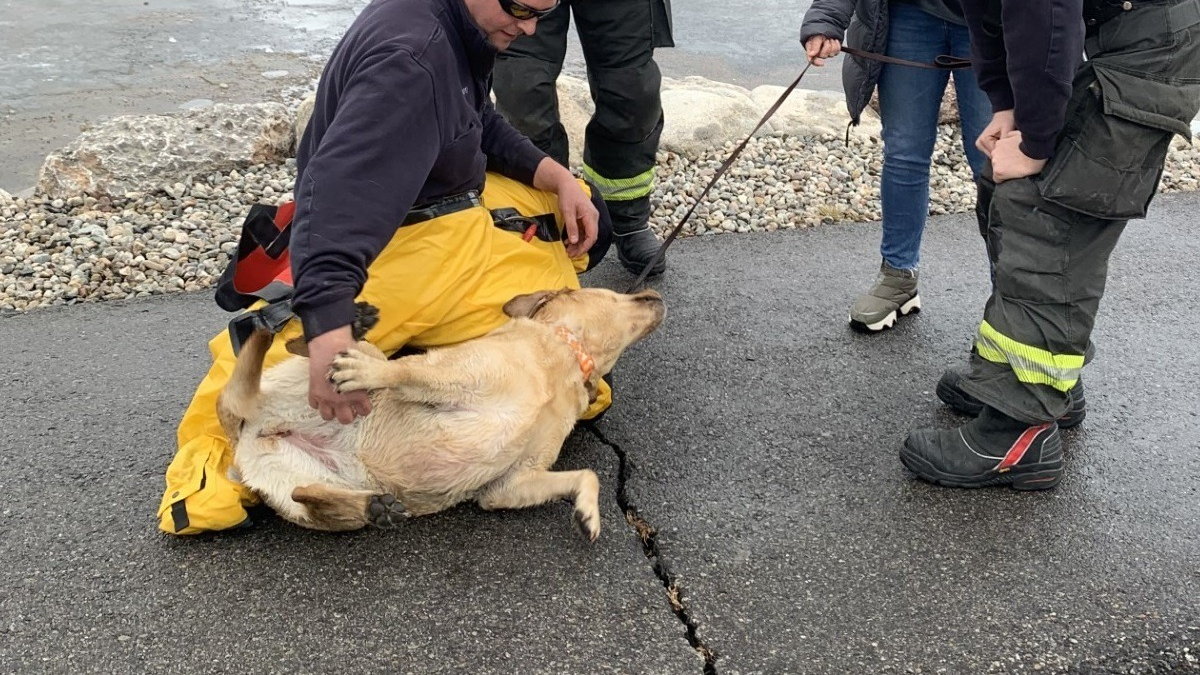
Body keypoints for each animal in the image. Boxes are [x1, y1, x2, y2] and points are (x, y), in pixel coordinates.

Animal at [216, 285, 667, 538]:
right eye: (619, 293)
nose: (657, 295)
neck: (564, 355)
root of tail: (247, 428)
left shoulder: (509, 485)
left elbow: (587, 476)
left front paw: (588, 512)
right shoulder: (452, 377)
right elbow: (408, 371)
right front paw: (373, 374)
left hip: (311, 483)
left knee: (307, 496)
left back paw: (373, 507)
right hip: (312, 379)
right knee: (308, 348)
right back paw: (349, 333)